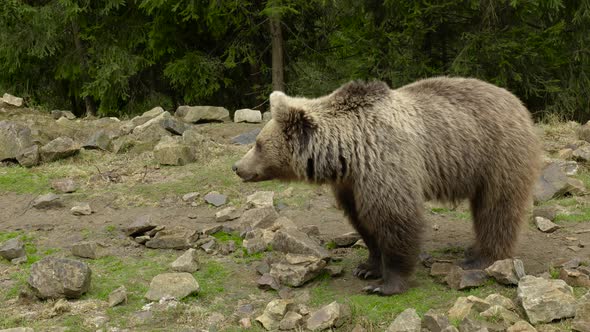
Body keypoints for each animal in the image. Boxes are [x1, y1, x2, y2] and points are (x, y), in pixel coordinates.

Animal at [234, 77, 544, 296]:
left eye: (258, 144)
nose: (237, 167)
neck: (347, 152)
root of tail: (517, 102)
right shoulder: (351, 184)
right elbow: (363, 222)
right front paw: (367, 267)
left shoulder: (384, 162)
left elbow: (395, 218)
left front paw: (386, 283)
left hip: (497, 154)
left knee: (497, 208)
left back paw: (480, 258)